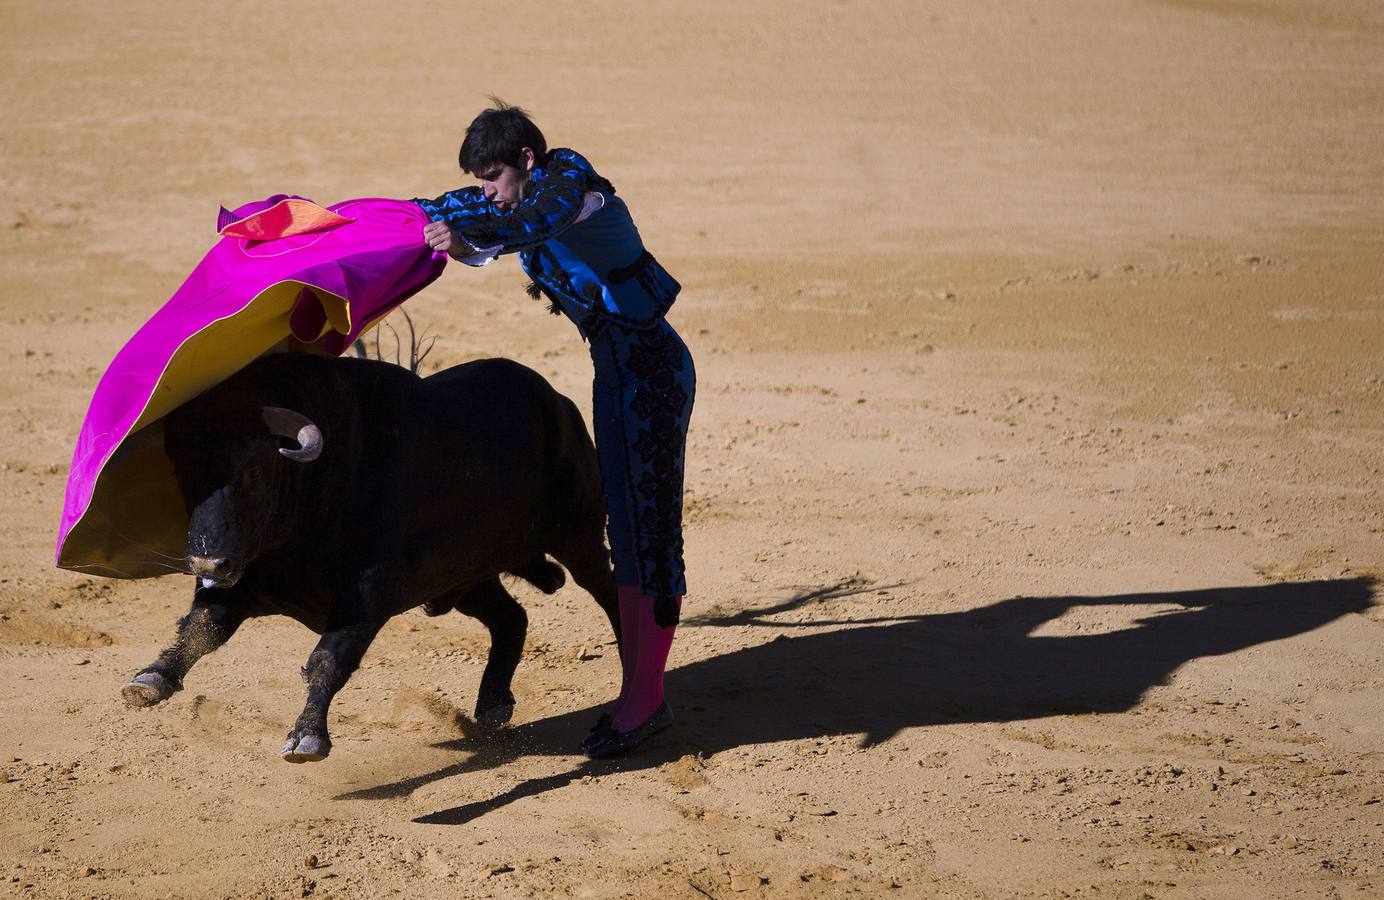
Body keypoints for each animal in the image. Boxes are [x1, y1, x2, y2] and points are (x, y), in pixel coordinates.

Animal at [121, 350, 620, 758]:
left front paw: (307, 737)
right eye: (182, 475)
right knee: (511, 617)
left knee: (607, 588)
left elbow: (328, 656)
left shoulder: (366, 594)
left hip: (578, 532)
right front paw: (150, 680)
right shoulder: (244, 580)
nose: (207, 563)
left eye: (255, 471)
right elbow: (202, 628)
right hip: (462, 578)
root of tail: (557, 401)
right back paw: (493, 704)